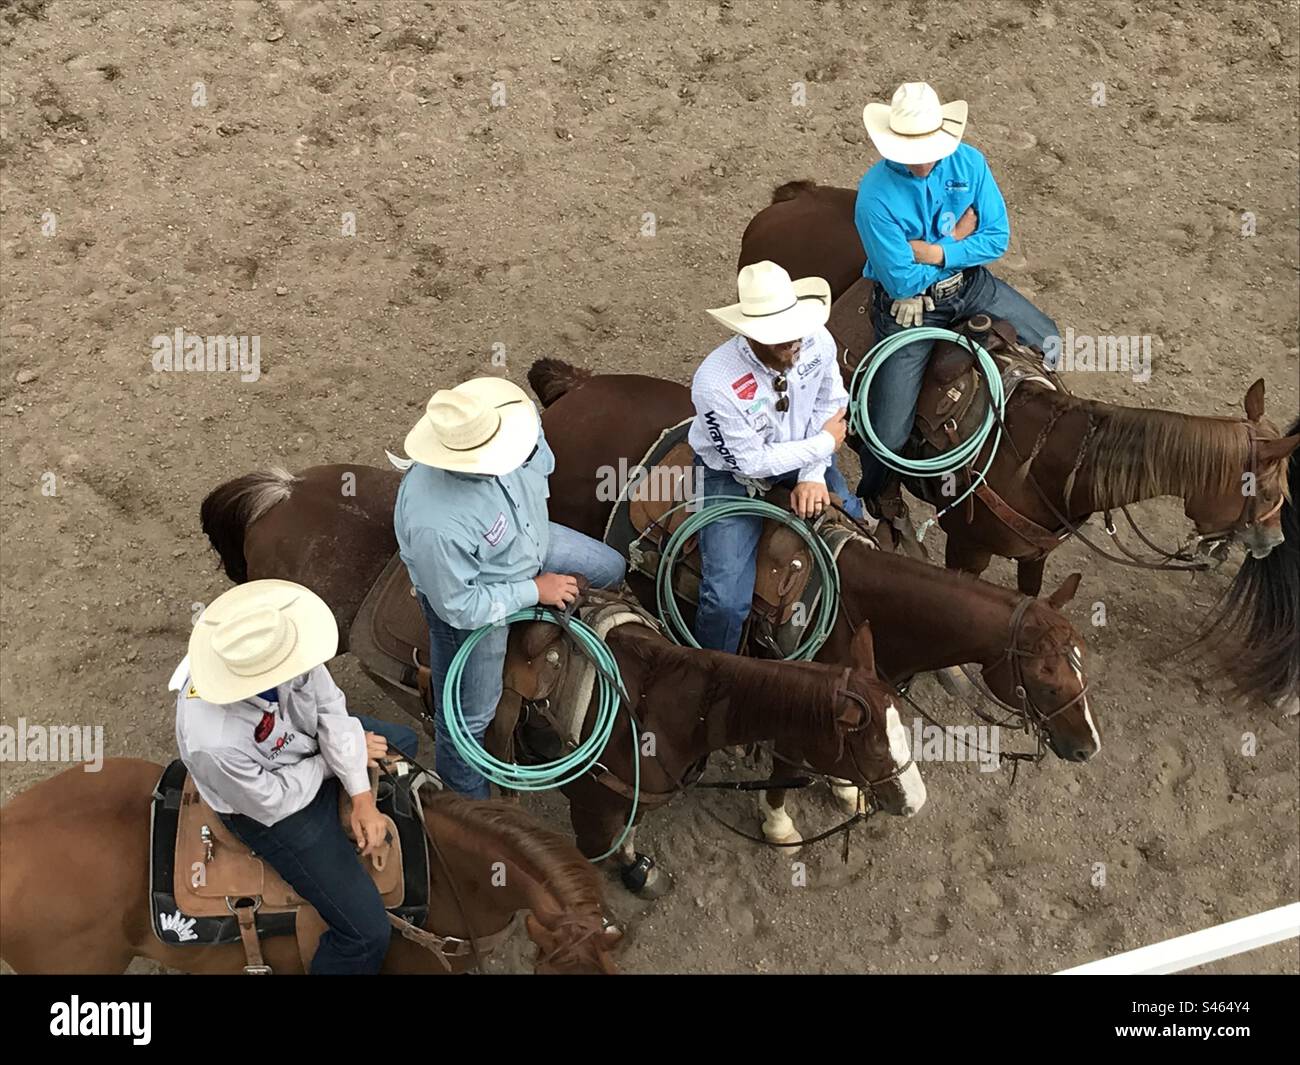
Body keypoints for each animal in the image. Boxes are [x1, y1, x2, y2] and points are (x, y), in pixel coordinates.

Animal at [195, 475, 925, 889]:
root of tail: (280, 491)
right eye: (868, 746)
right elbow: (601, 856)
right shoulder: (594, 807)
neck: (659, 703)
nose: (915, 800)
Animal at [738, 180, 1294, 595]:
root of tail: (794, 199)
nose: (1273, 540)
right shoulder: (968, 552)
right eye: (1265, 489)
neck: (1041, 464)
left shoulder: (1035, 556)